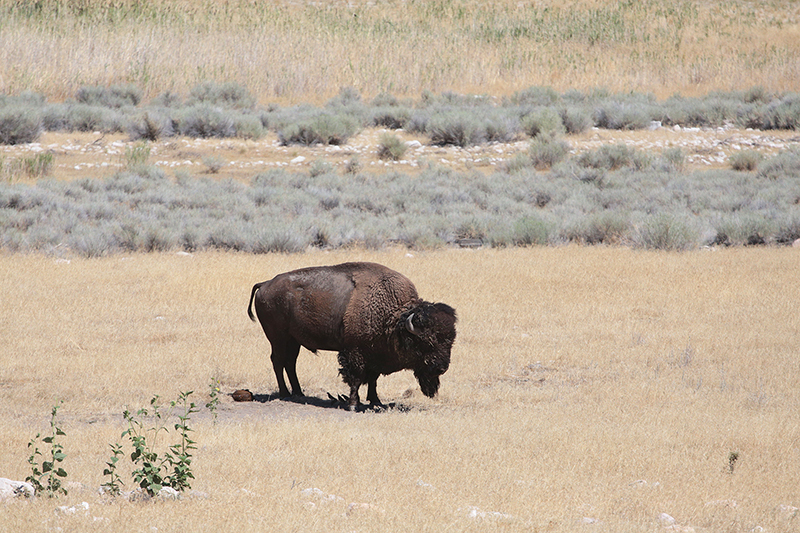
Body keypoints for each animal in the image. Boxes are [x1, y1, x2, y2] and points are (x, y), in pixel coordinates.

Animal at [248, 262, 457, 410]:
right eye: (425, 342)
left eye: (451, 341)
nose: (442, 367)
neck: (394, 318)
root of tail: (265, 284)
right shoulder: (355, 352)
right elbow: (356, 378)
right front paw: (353, 404)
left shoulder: (375, 355)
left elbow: (373, 379)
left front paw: (375, 401)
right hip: (278, 337)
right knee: (278, 361)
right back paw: (285, 393)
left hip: (293, 340)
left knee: (290, 363)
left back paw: (299, 393)